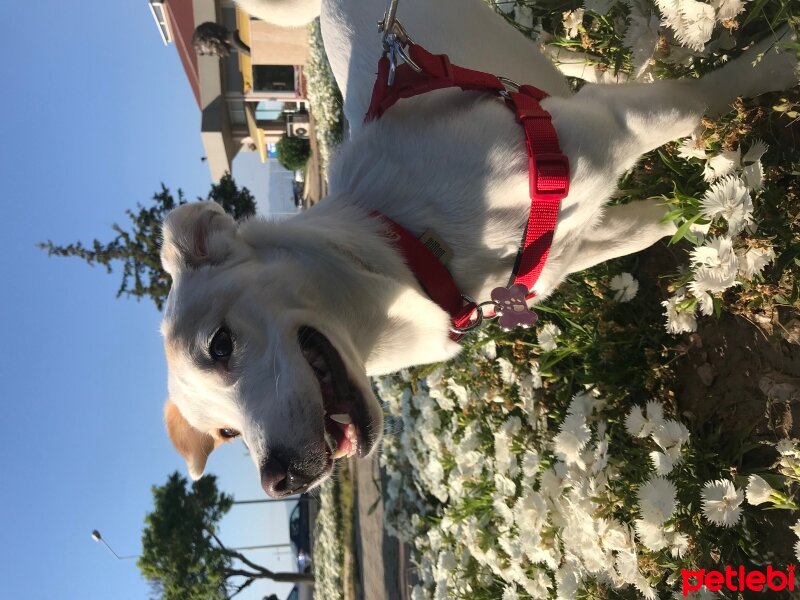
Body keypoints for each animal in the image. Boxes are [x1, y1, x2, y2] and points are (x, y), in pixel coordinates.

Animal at [159, 0, 796, 496]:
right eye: (226, 434)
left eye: (220, 345)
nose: (279, 479)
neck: (411, 245)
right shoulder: (576, 241)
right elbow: (656, 222)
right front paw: (704, 229)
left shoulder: (614, 124)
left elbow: (708, 93)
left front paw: (781, 56)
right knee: (553, 60)